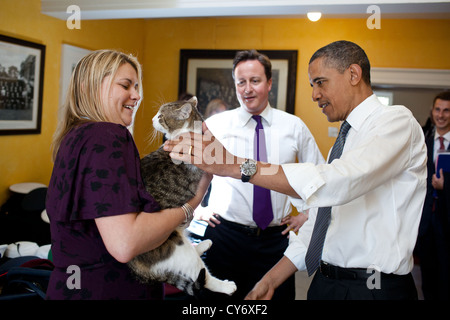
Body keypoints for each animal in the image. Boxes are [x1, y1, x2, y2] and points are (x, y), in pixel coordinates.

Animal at [127, 96, 237, 296]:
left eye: (161, 116)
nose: (152, 119)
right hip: (179, 249)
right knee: (203, 277)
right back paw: (227, 286)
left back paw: (205, 244)